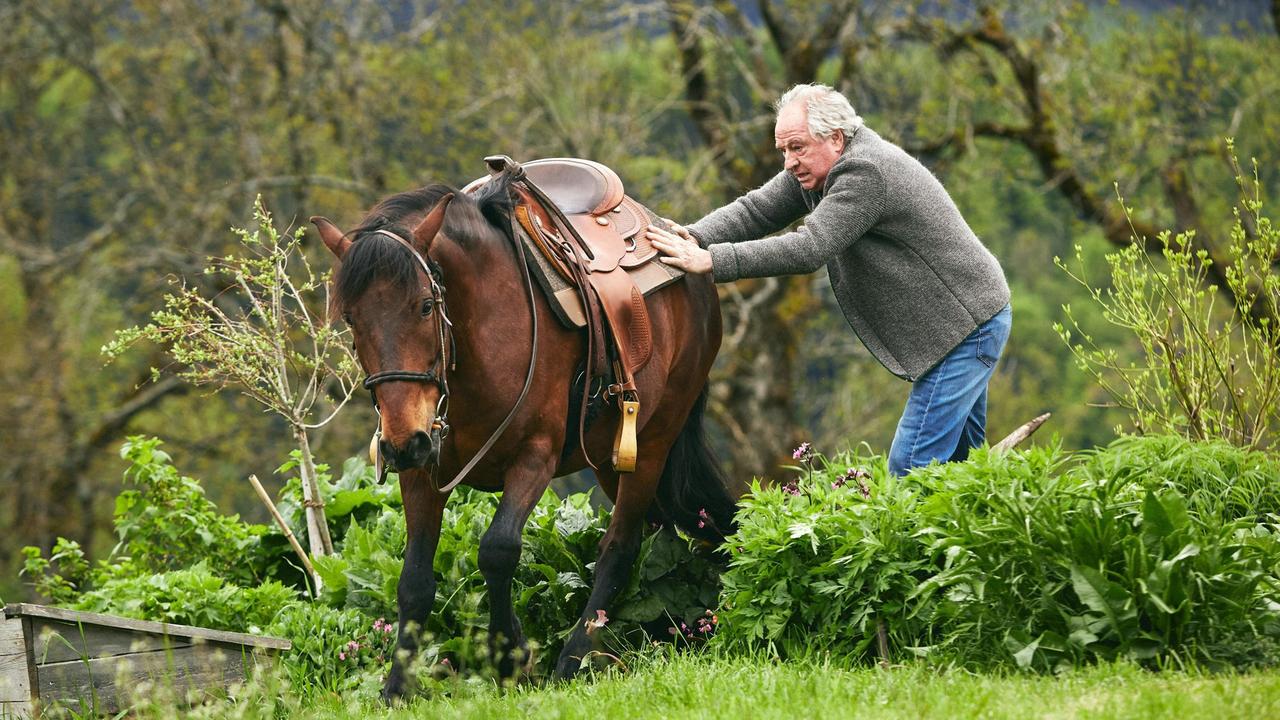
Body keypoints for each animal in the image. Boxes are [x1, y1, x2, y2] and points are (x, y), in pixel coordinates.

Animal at [309, 166, 742, 696]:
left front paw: (509, 655)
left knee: (620, 547)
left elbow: (497, 551)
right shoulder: (421, 472)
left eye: (426, 306)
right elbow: (413, 578)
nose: (400, 442)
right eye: (351, 318)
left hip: (652, 443)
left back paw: (575, 658)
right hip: (610, 459)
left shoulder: (534, 457)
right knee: (657, 536)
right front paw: (397, 688)